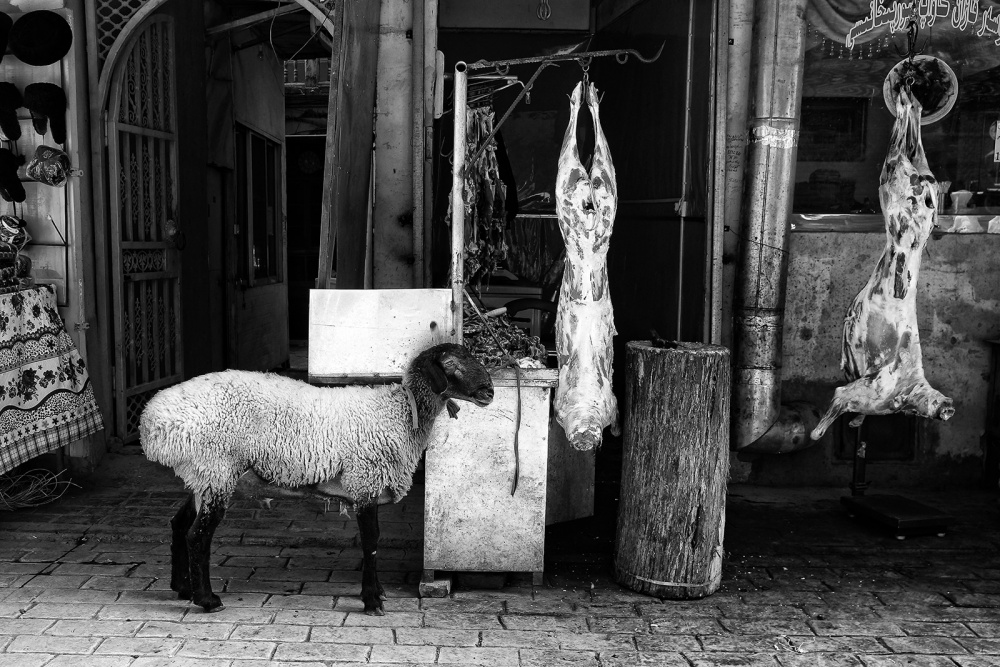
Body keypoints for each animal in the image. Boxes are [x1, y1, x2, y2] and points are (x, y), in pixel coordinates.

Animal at [139, 342, 494, 615]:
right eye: (451, 363)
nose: (490, 391)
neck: (401, 413)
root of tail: (153, 422)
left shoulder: (364, 485)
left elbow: (371, 543)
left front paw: (376, 592)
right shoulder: (364, 480)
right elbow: (372, 542)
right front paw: (372, 600)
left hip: (204, 475)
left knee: (179, 524)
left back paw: (183, 588)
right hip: (215, 468)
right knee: (198, 535)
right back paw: (207, 600)